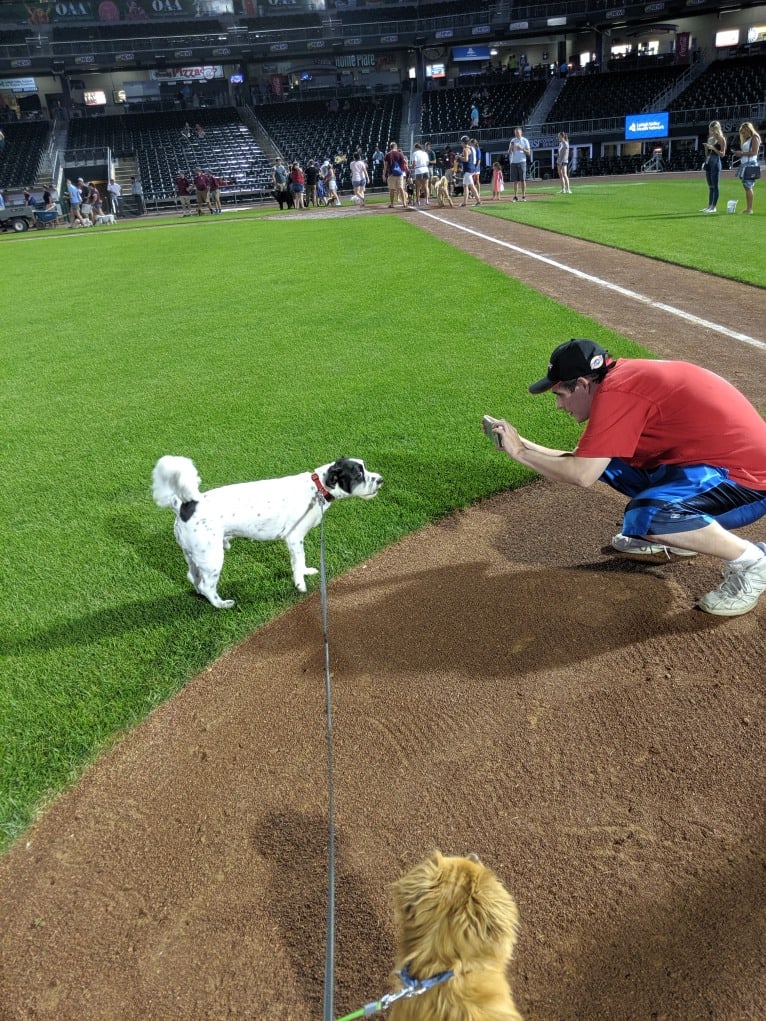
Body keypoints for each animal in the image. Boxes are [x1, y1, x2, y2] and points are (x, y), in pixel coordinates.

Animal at [152, 455, 384, 604]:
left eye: (365, 468)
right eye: (359, 474)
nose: (381, 479)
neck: (317, 488)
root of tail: (184, 505)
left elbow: (300, 562)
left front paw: (305, 572)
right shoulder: (294, 537)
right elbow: (298, 561)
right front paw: (300, 583)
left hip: (193, 554)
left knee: (193, 578)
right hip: (211, 557)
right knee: (207, 586)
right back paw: (222, 604)